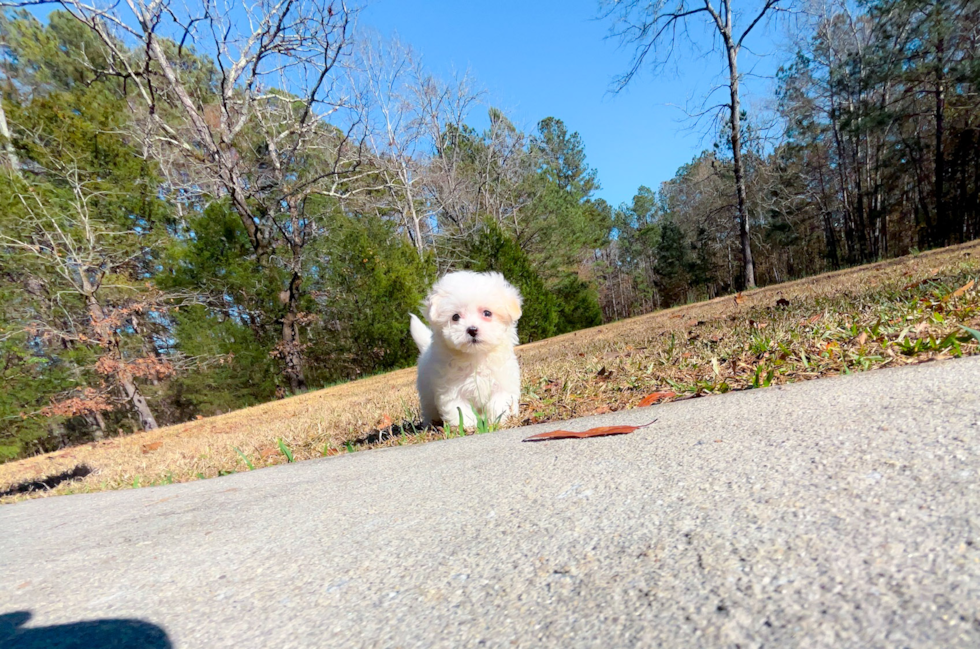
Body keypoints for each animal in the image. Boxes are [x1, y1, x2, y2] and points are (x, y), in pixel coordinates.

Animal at [410, 270, 524, 428]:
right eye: (455, 317)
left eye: (487, 313)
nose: (472, 330)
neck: (475, 356)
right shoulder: (450, 389)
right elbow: (459, 409)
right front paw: (468, 426)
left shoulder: (502, 383)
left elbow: (498, 402)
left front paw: (495, 421)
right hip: (426, 394)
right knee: (429, 409)